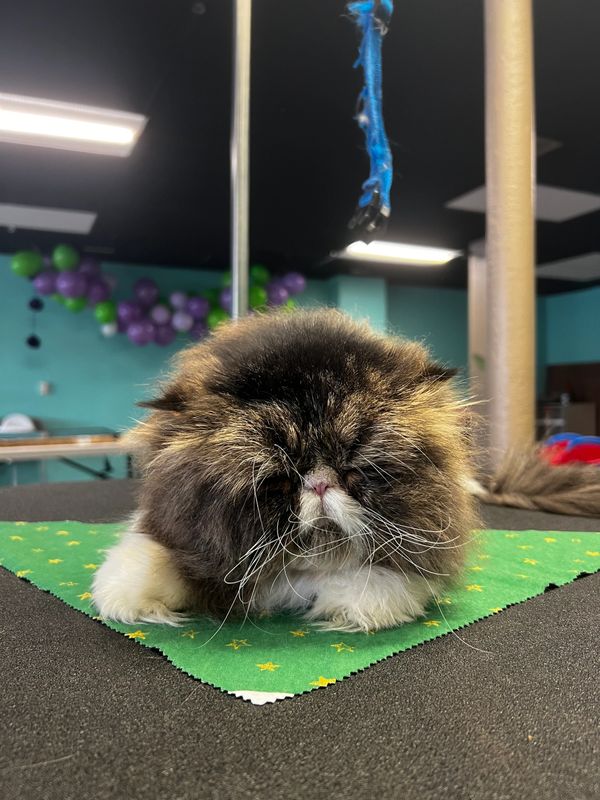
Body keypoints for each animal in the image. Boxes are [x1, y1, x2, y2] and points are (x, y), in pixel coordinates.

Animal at [92, 310, 478, 632]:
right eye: (279, 481)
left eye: (354, 471)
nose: (320, 484)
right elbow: (152, 560)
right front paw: (129, 598)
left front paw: (347, 606)